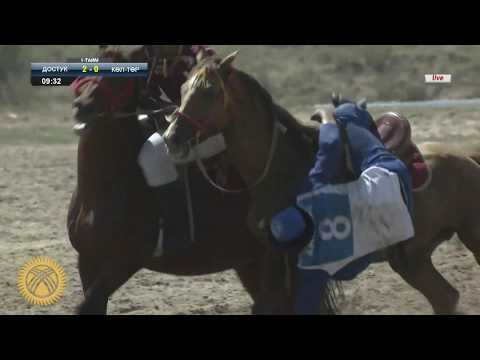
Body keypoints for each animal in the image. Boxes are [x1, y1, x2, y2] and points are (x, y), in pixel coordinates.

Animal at [166, 51, 480, 316]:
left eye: (210, 90)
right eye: (182, 90)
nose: (172, 138)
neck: (283, 167)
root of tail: (466, 158)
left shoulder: (295, 265)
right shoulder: (272, 259)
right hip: (412, 259)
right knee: (445, 297)